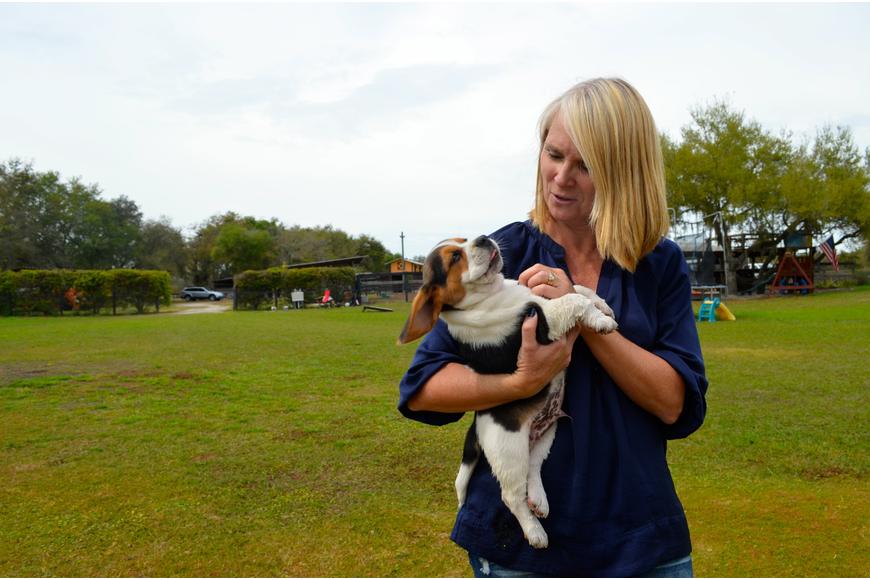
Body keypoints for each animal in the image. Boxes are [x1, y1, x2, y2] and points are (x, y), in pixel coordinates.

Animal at [398, 234, 616, 548]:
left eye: (464, 240)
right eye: (454, 258)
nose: (483, 238)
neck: (493, 293)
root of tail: (477, 426)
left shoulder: (541, 298)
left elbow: (578, 288)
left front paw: (604, 306)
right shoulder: (544, 319)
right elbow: (573, 299)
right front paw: (601, 320)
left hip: (546, 433)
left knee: (533, 469)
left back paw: (538, 499)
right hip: (509, 449)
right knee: (512, 496)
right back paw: (534, 531)